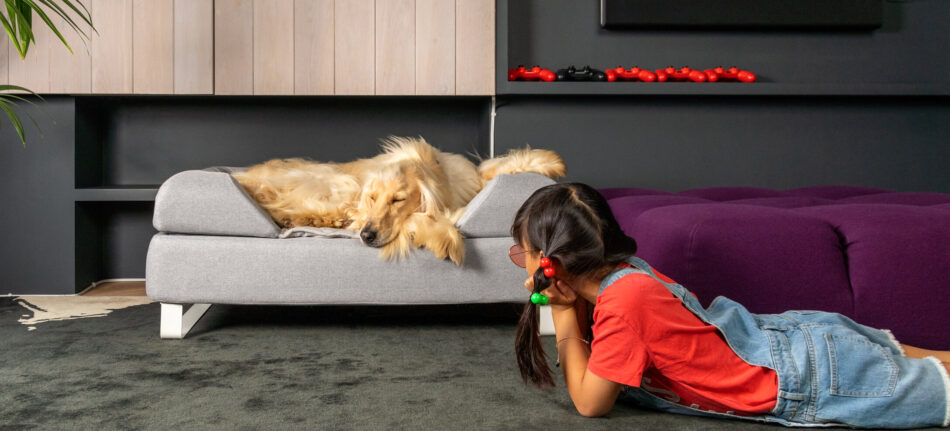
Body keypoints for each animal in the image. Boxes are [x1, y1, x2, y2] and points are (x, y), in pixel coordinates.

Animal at [234, 137, 568, 264]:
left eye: (398, 199)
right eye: (372, 197)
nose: (367, 236)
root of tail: (245, 176)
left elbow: (497, 168)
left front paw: (548, 162)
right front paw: (444, 238)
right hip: (338, 182)